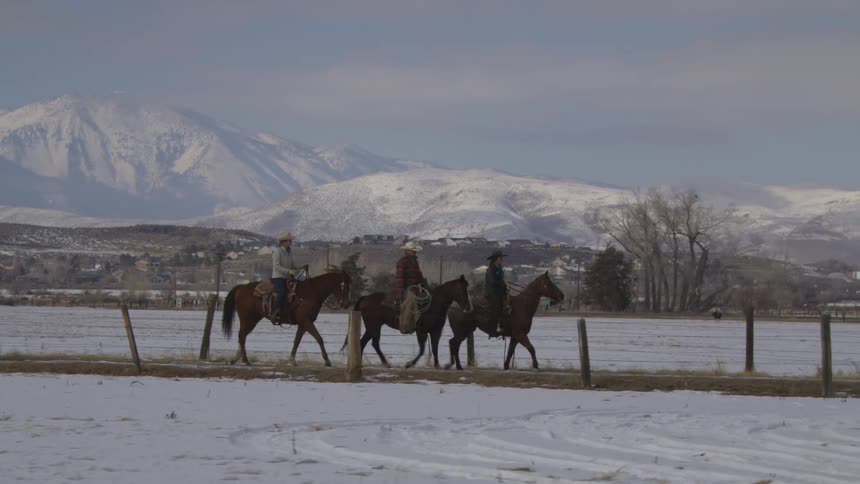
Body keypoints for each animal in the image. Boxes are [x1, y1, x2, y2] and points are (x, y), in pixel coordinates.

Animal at [221, 271, 351, 366]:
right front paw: (327, 361)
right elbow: (319, 338)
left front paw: (292, 360)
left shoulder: (303, 324)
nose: (345, 304)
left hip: (252, 320)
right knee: (242, 336)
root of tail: (241, 287)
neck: (311, 293)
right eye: (343, 285)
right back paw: (245, 360)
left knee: (242, 336)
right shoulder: (306, 321)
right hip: (248, 319)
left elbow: (297, 341)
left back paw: (236, 359)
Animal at [341, 275, 473, 368]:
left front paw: (437, 365)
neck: (434, 304)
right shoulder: (421, 331)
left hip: (373, 327)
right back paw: (384, 363)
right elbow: (422, 349)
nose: (468, 307)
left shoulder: (436, 331)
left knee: (365, 342)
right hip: (374, 326)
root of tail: (365, 298)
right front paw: (409, 364)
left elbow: (435, 347)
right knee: (372, 343)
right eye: (463, 290)